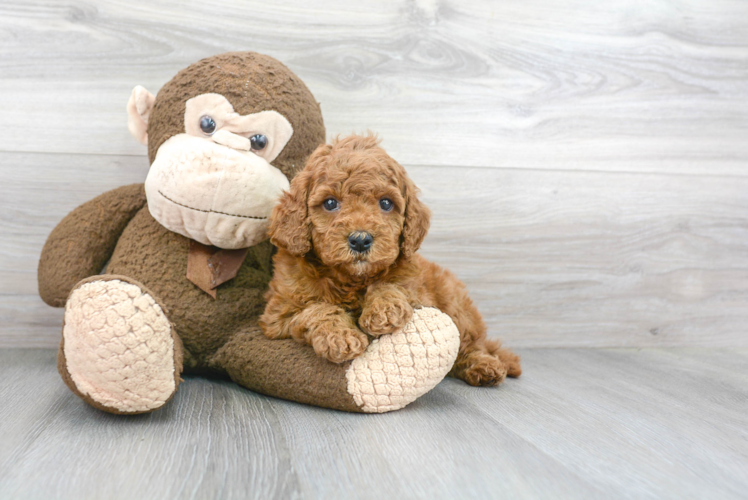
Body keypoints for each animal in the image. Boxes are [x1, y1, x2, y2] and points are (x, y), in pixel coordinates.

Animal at [260, 135, 524, 384]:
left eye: (386, 203)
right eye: (330, 203)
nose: (360, 240)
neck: (351, 280)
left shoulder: (419, 293)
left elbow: (392, 285)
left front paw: (384, 310)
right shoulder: (278, 315)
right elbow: (316, 309)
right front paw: (340, 337)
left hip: (456, 303)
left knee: (469, 344)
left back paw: (484, 366)